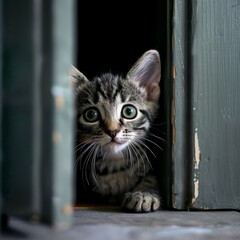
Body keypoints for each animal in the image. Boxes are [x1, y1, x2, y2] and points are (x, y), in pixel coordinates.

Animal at [71, 49, 161, 212]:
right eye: (91, 115)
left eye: (129, 111)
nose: (112, 131)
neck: (115, 164)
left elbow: (150, 178)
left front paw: (144, 194)